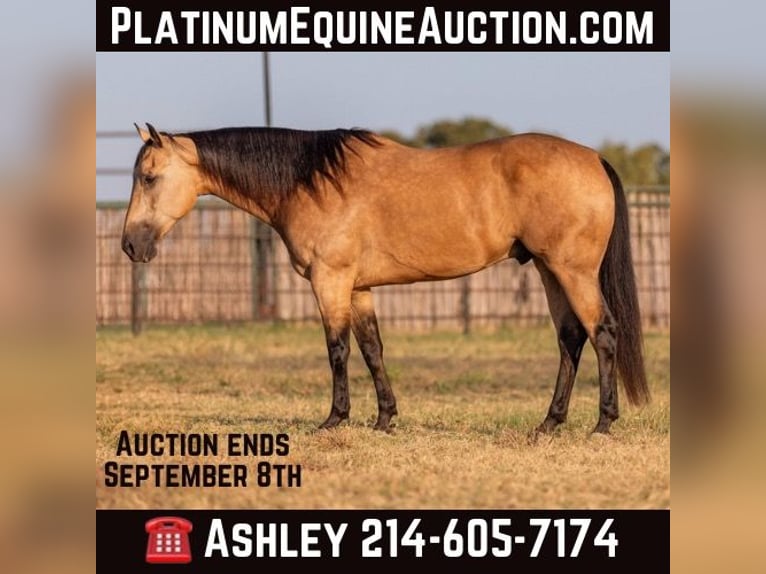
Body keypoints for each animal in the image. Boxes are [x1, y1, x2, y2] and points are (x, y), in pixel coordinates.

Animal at [121, 123, 650, 436]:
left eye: (148, 177)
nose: (130, 245)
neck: (312, 181)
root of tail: (593, 158)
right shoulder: (358, 289)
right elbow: (372, 349)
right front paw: (384, 419)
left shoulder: (330, 282)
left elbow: (337, 350)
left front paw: (335, 419)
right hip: (547, 269)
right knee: (570, 339)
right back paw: (549, 423)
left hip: (571, 271)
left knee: (603, 333)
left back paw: (603, 423)